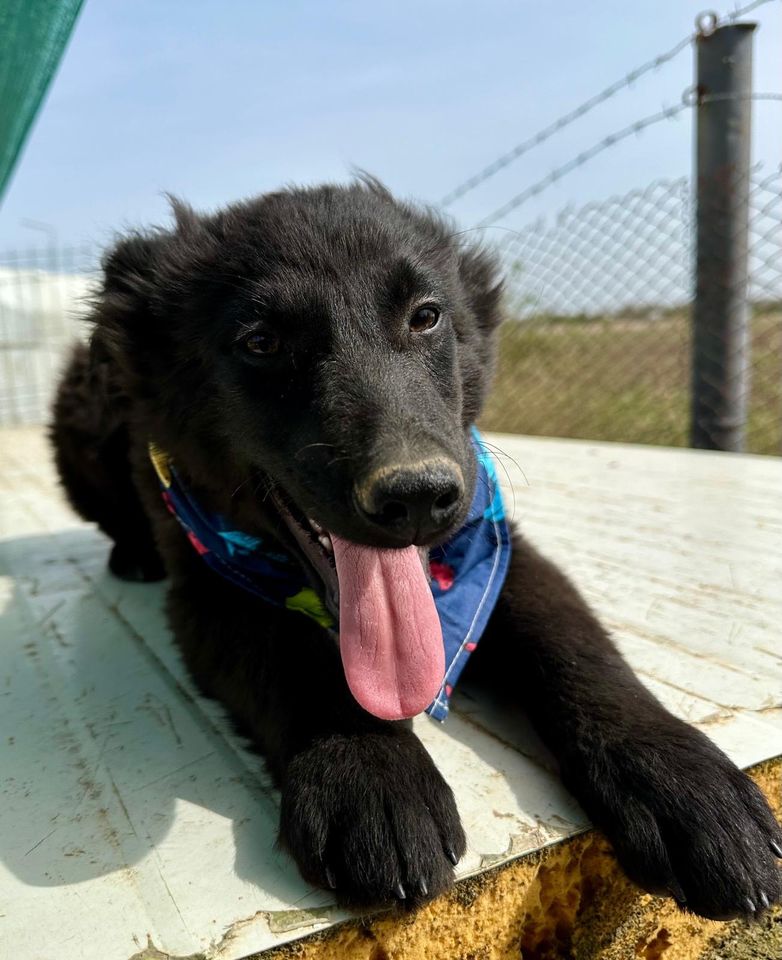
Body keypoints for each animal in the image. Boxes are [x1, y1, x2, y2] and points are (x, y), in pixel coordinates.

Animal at [50, 176, 782, 920]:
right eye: (260, 341)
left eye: (425, 317)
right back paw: (132, 555)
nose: (417, 496)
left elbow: (572, 643)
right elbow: (295, 658)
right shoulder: (208, 588)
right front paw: (370, 776)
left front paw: (680, 776)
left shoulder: (494, 546)